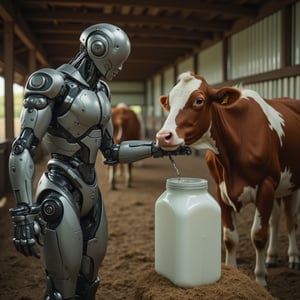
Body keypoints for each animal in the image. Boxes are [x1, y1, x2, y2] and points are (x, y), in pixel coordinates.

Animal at [157, 71, 300, 288]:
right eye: (170, 102)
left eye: (199, 100)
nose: (163, 136)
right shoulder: (220, 188)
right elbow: (230, 237)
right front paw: (233, 272)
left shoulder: (266, 184)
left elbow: (258, 235)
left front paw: (260, 280)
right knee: (276, 218)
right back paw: (272, 257)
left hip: (292, 183)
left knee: (290, 219)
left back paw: (293, 257)